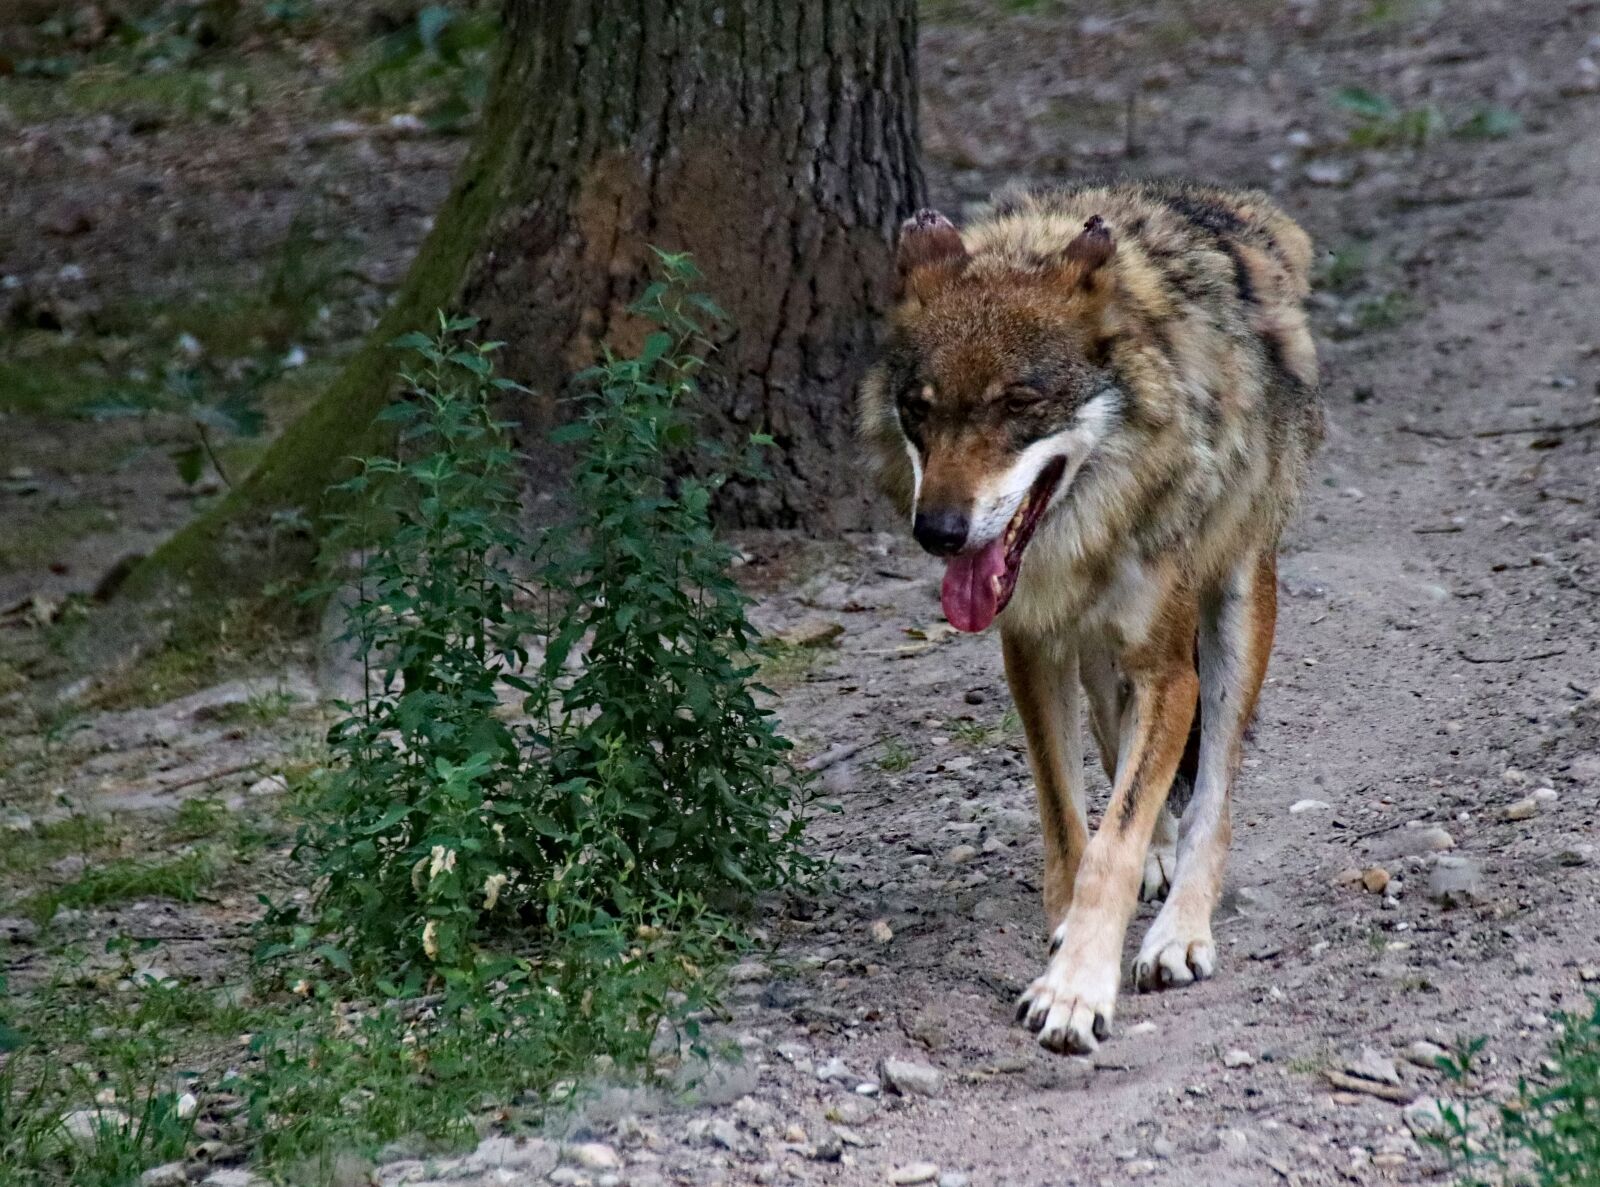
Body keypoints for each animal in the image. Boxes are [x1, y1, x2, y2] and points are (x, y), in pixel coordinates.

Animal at [859, 180, 1323, 1054]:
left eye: (1019, 403)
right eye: (917, 409)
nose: (938, 532)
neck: (1085, 531)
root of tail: (1226, 206)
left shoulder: (1170, 673)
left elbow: (1116, 839)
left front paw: (1076, 987)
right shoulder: (1031, 649)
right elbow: (1074, 827)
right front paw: (1071, 934)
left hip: (1237, 604)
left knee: (1214, 795)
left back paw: (1181, 930)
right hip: (1098, 653)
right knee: (1120, 750)